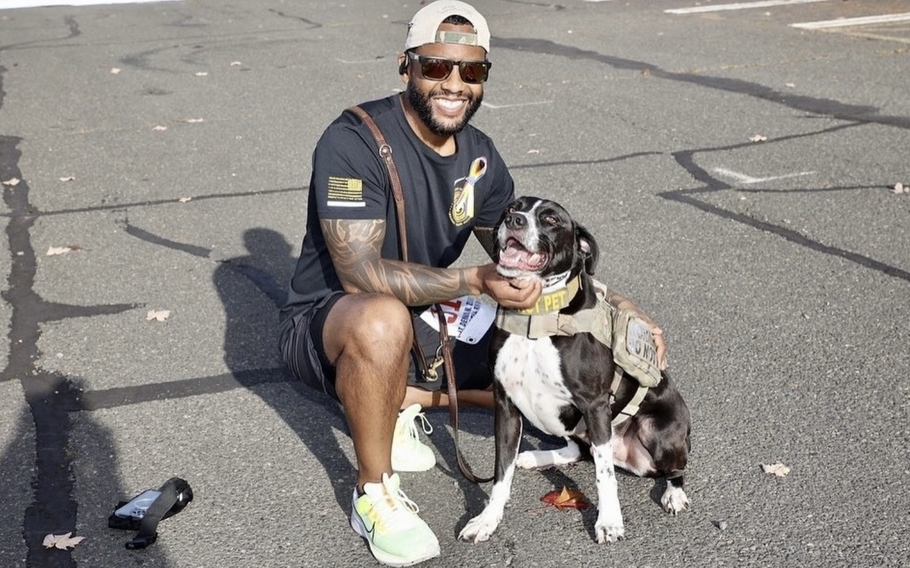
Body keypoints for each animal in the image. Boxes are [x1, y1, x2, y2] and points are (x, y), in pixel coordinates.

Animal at [460, 196, 696, 544]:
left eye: (550, 219)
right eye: (513, 207)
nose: (515, 220)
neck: (537, 316)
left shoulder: (595, 406)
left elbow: (604, 476)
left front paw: (609, 522)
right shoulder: (505, 406)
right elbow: (501, 474)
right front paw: (487, 520)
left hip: (657, 431)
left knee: (676, 468)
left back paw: (674, 493)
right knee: (577, 449)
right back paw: (534, 457)